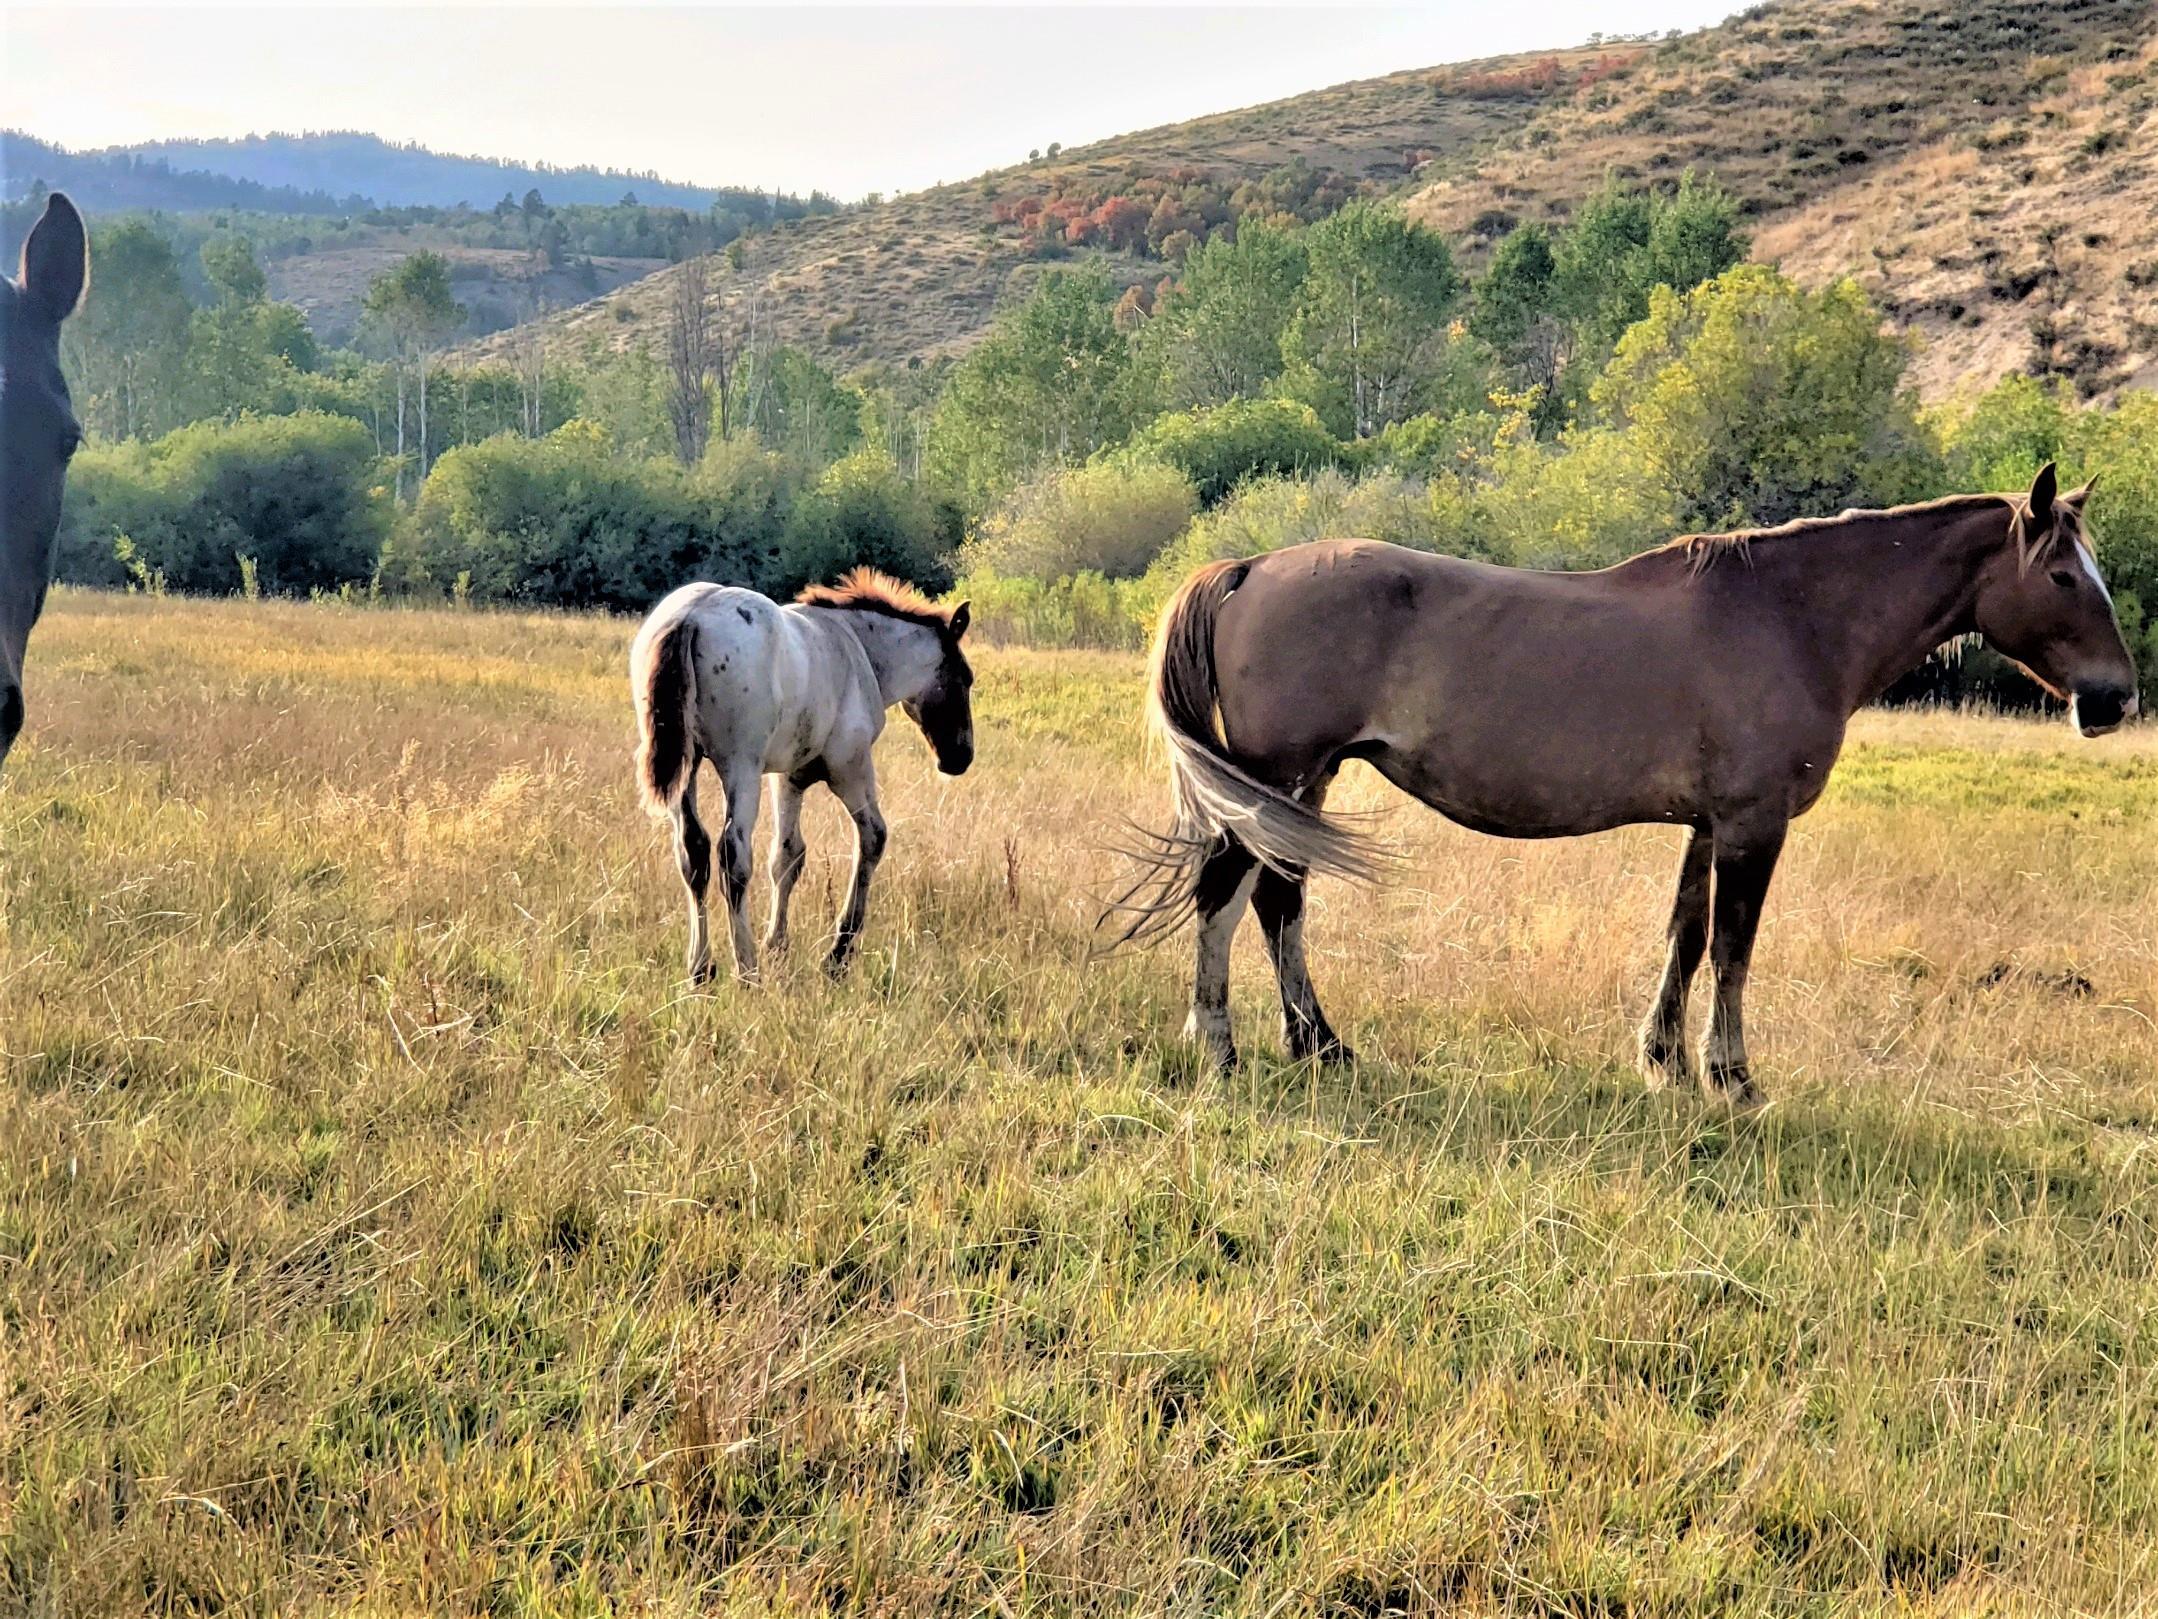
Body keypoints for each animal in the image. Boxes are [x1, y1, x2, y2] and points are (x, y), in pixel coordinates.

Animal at [1113, 461, 2140, 1113]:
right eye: (2062, 573)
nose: (2116, 698)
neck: (1791, 616)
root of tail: (1248, 568)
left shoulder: (1708, 824)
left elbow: (1684, 937)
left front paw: (1665, 1062)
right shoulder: (1754, 826)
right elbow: (1732, 950)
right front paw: (1732, 1077)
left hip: (1304, 785)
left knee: (1280, 904)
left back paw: (1321, 1045)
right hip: (1278, 777)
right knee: (1225, 897)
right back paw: (1220, 1046)